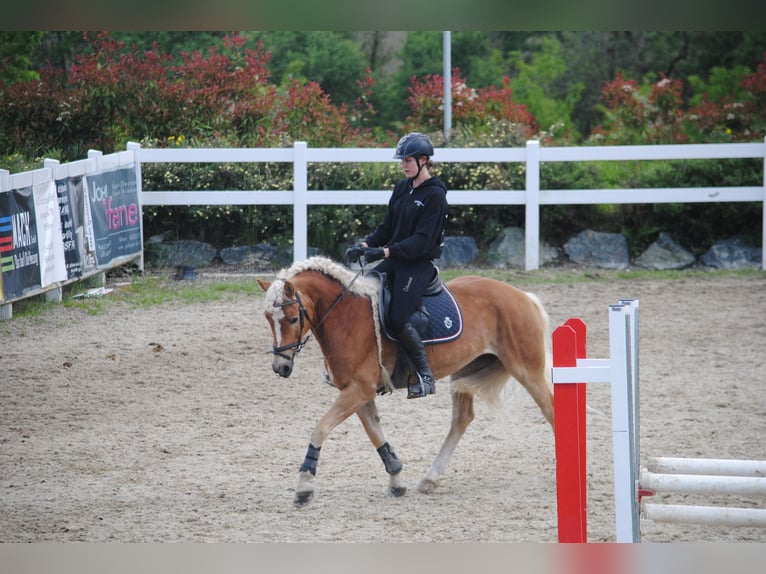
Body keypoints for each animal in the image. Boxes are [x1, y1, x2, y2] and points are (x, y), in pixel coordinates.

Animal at [260, 256, 556, 508]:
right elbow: (376, 435)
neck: (346, 316)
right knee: (462, 419)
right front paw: (396, 481)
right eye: (268, 319)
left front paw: (304, 487)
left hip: (527, 369)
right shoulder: (358, 392)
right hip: (465, 370)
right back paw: (430, 478)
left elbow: (320, 428)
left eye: (293, 319)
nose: (280, 367)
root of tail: (522, 295)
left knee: (550, 409)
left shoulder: (358, 390)